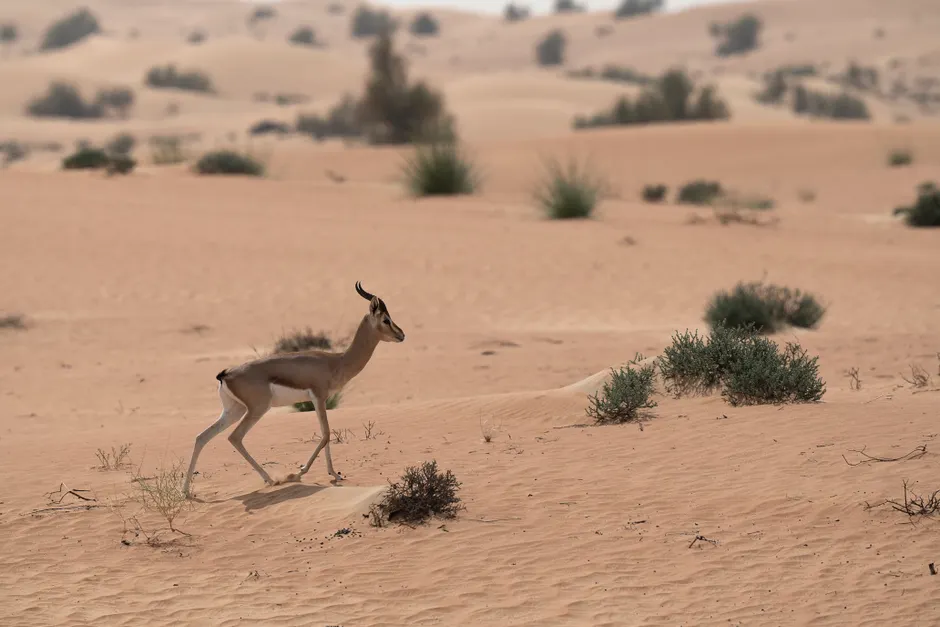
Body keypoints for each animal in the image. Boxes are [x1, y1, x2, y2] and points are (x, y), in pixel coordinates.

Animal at [182, 282, 405, 498]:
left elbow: (326, 435)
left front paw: (334, 475)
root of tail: (225, 374)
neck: (336, 361)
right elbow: (326, 434)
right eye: (386, 319)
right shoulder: (319, 398)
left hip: (233, 411)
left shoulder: (320, 401)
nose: (402, 335)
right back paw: (271, 479)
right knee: (234, 437)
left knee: (202, 437)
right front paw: (298, 473)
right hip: (256, 410)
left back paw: (186, 491)